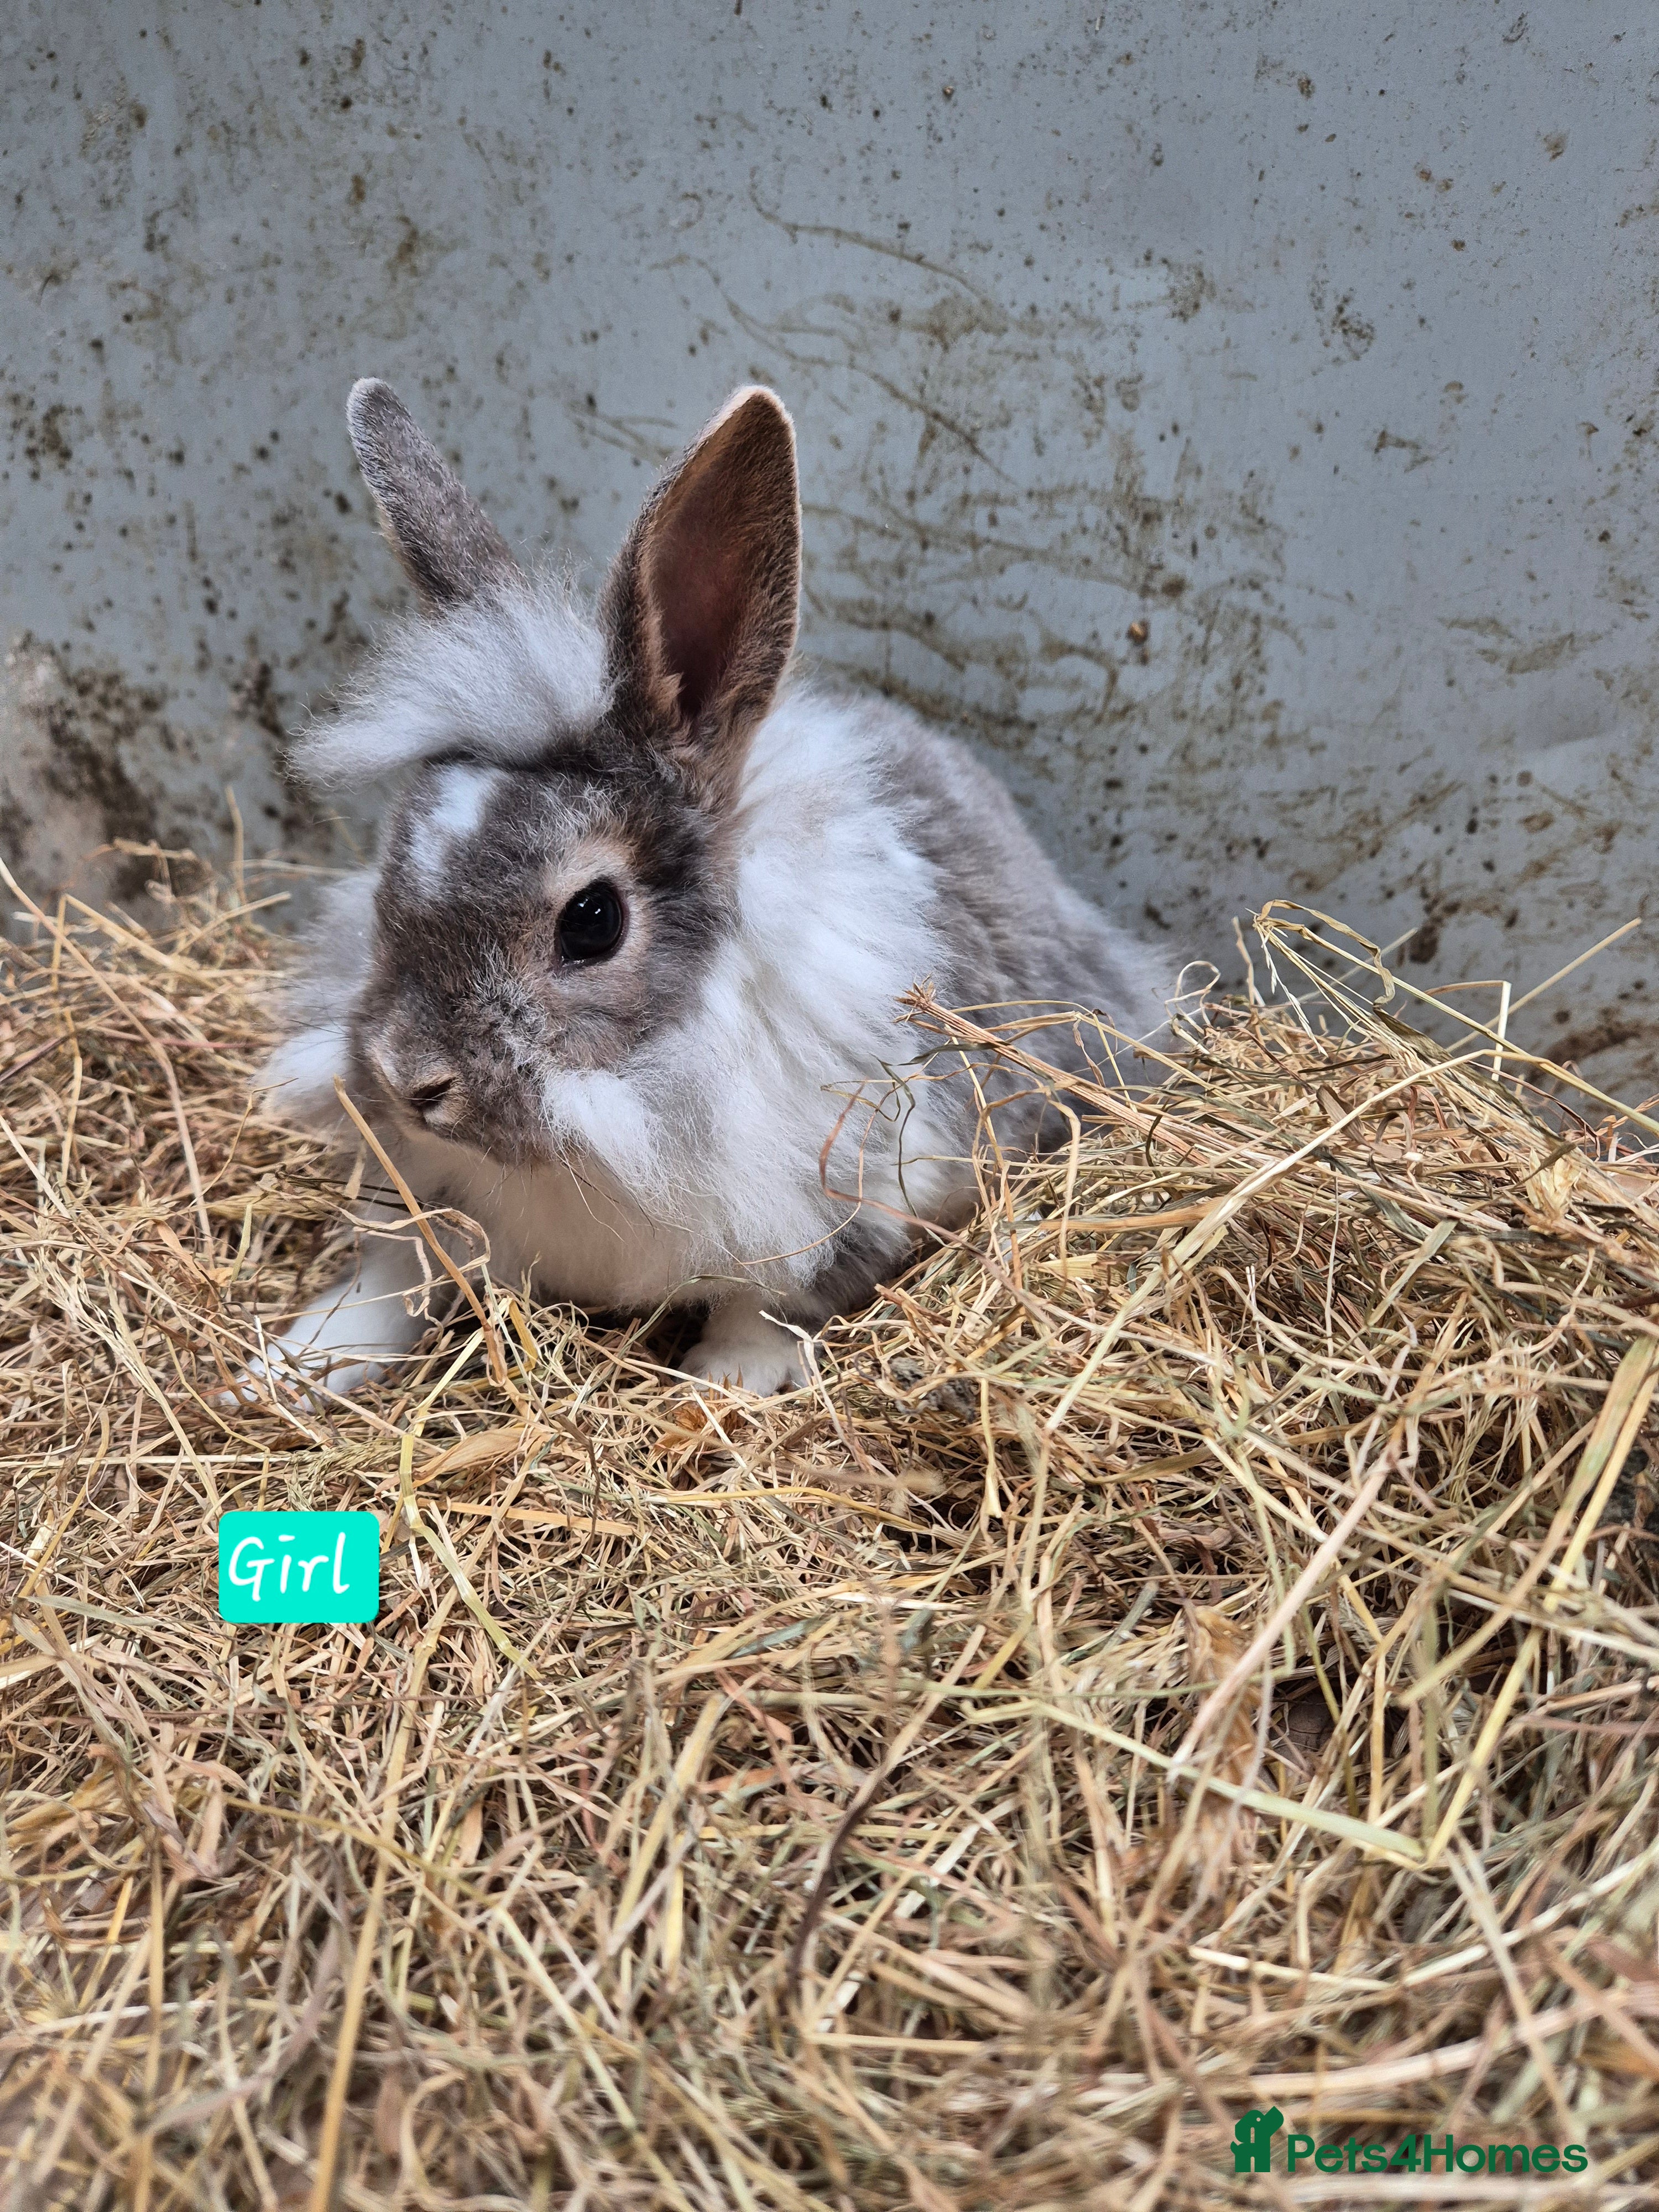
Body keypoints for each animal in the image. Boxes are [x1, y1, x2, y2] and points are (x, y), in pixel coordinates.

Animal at [250, 378, 1172, 1398]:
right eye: (393, 865)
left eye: (593, 921)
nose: (410, 1081)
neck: (633, 1083)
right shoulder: (432, 1199)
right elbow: (392, 1281)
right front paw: (277, 1369)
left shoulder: (864, 1192)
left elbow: (770, 1302)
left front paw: (721, 1384)